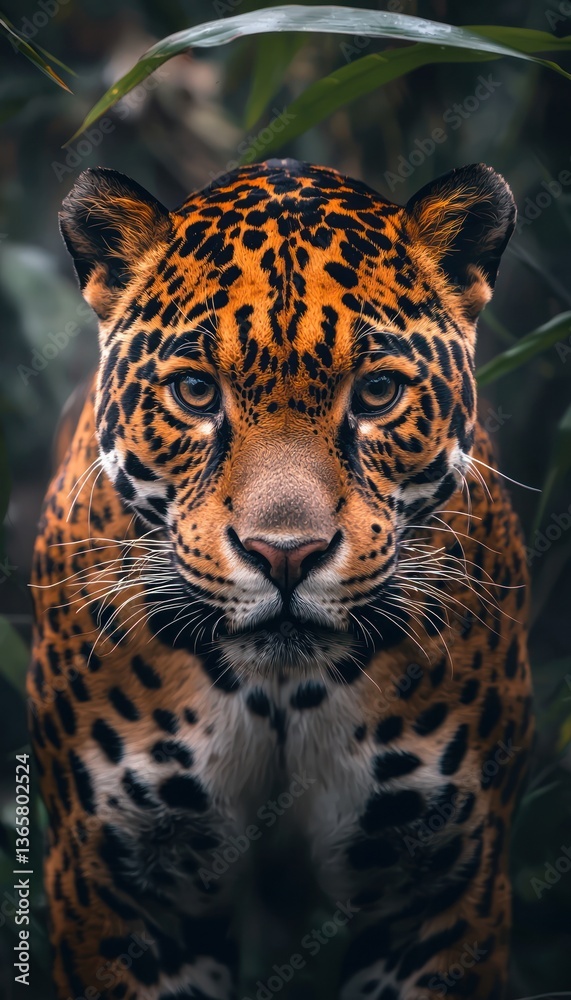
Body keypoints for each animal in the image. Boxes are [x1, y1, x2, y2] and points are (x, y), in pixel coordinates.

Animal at [28, 158, 534, 1000]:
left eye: (377, 393)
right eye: (195, 392)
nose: (286, 554)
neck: (281, 694)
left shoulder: (445, 884)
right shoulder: (117, 880)